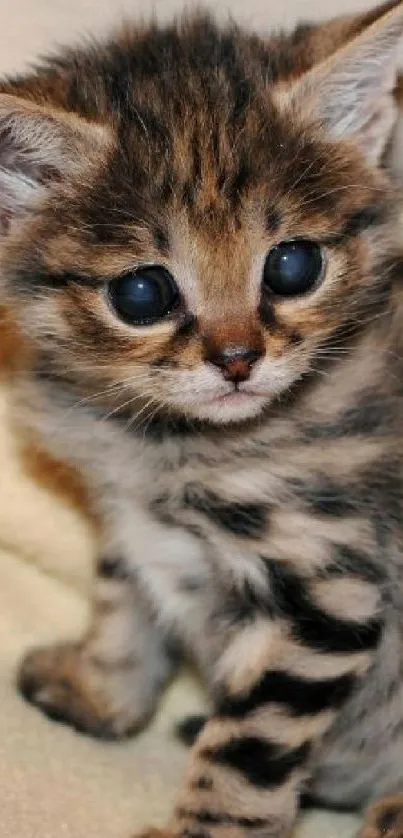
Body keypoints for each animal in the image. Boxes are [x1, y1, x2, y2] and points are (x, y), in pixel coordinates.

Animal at [0, 0, 403, 836]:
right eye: (142, 294)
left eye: (291, 267)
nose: (237, 359)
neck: (168, 446)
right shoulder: (128, 520)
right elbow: (121, 607)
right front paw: (100, 693)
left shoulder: (326, 584)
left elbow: (248, 752)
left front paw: (203, 828)